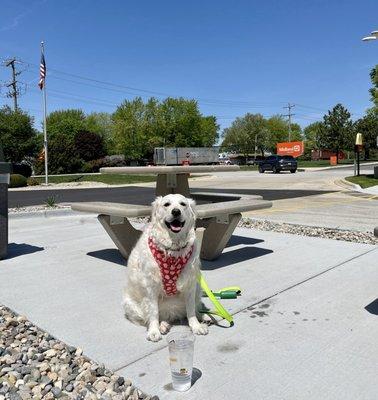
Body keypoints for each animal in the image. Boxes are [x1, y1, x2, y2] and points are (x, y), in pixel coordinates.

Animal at [122, 193, 208, 340]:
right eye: (166, 204)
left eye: (183, 204)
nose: (176, 211)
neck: (173, 248)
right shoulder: (150, 287)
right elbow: (153, 312)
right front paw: (154, 331)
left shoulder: (190, 284)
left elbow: (191, 310)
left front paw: (196, 326)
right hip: (130, 304)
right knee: (152, 317)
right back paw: (162, 325)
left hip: (198, 289)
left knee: (194, 308)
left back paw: (204, 316)